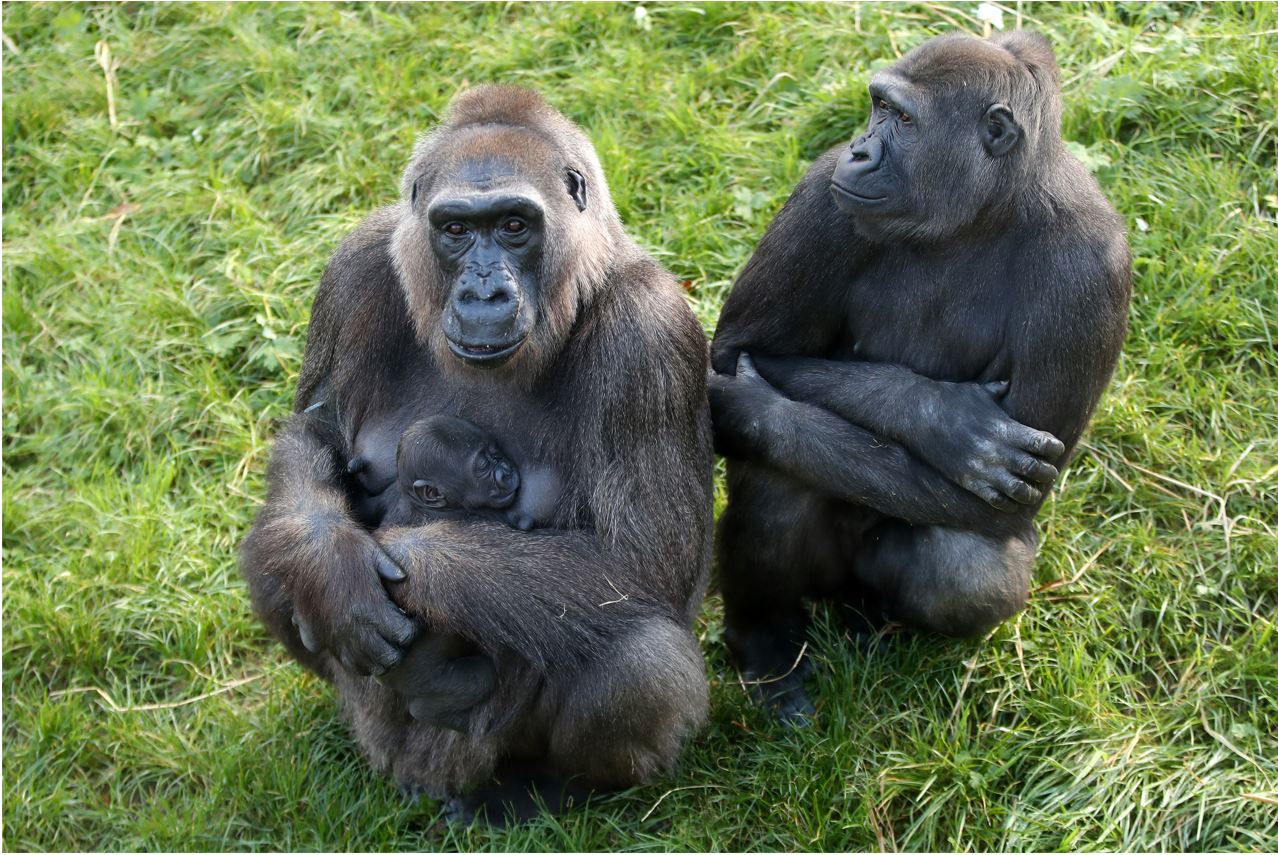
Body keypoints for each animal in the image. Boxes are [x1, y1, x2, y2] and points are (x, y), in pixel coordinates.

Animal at [708, 32, 1132, 722]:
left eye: (902, 119)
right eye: (877, 107)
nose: (859, 149)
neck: (990, 208)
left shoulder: (1093, 267)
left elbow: (994, 511)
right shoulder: (822, 191)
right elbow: (738, 351)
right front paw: (941, 418)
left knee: (967, 564)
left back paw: (873, 621)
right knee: (778, 475)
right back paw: (767, 647)